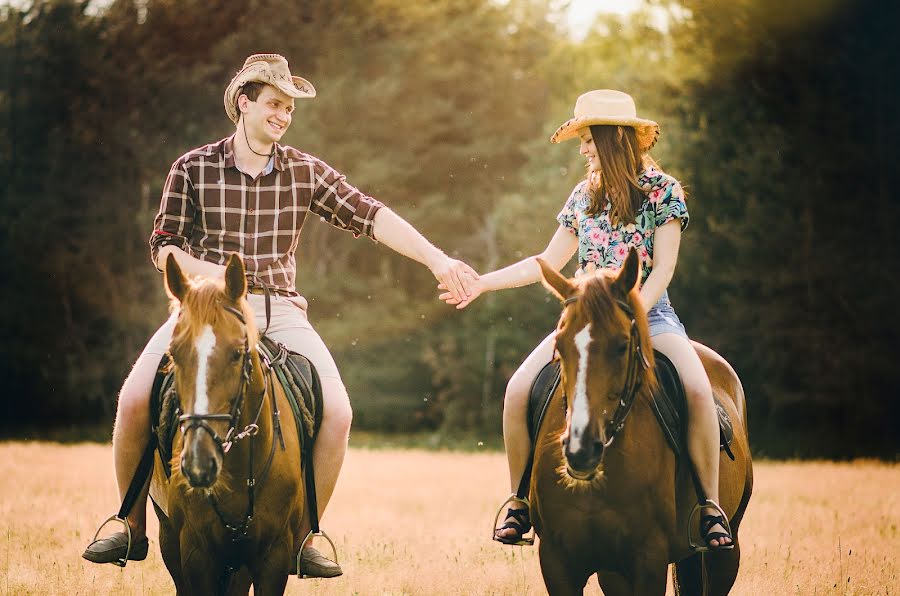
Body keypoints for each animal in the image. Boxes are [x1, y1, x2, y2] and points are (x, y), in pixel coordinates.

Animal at [151, 254, 310, 592]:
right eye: (174, 354)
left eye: (237, 354)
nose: (198, 464)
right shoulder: (195, 553)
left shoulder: (273, 555)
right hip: (169, 538)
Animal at [532, 253, 748, 596]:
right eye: (560, 345)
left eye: (622, 345)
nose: (581, 449)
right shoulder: (557, 561)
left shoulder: (649, 559)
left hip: (727, 551)